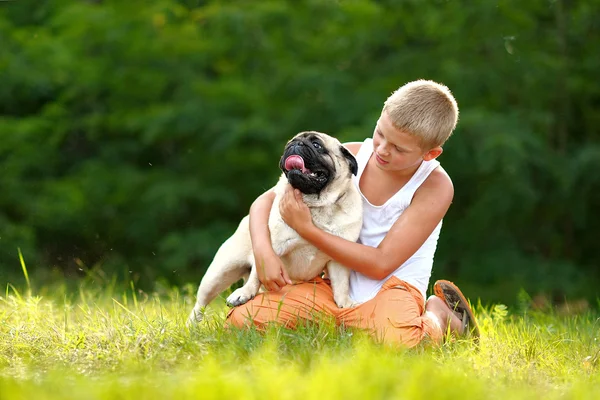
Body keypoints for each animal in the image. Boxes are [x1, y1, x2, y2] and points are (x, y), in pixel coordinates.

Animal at [188, 132, 364, 324]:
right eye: (289, 143)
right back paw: (192, 326)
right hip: (218, 274)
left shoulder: (338, 259)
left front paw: (345, 304)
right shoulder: (274, 247)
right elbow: (258, 274)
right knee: (200, 304)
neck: (317, 206)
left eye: (317, 145)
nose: (296, 144)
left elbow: (341, 284)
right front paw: (245, 293)